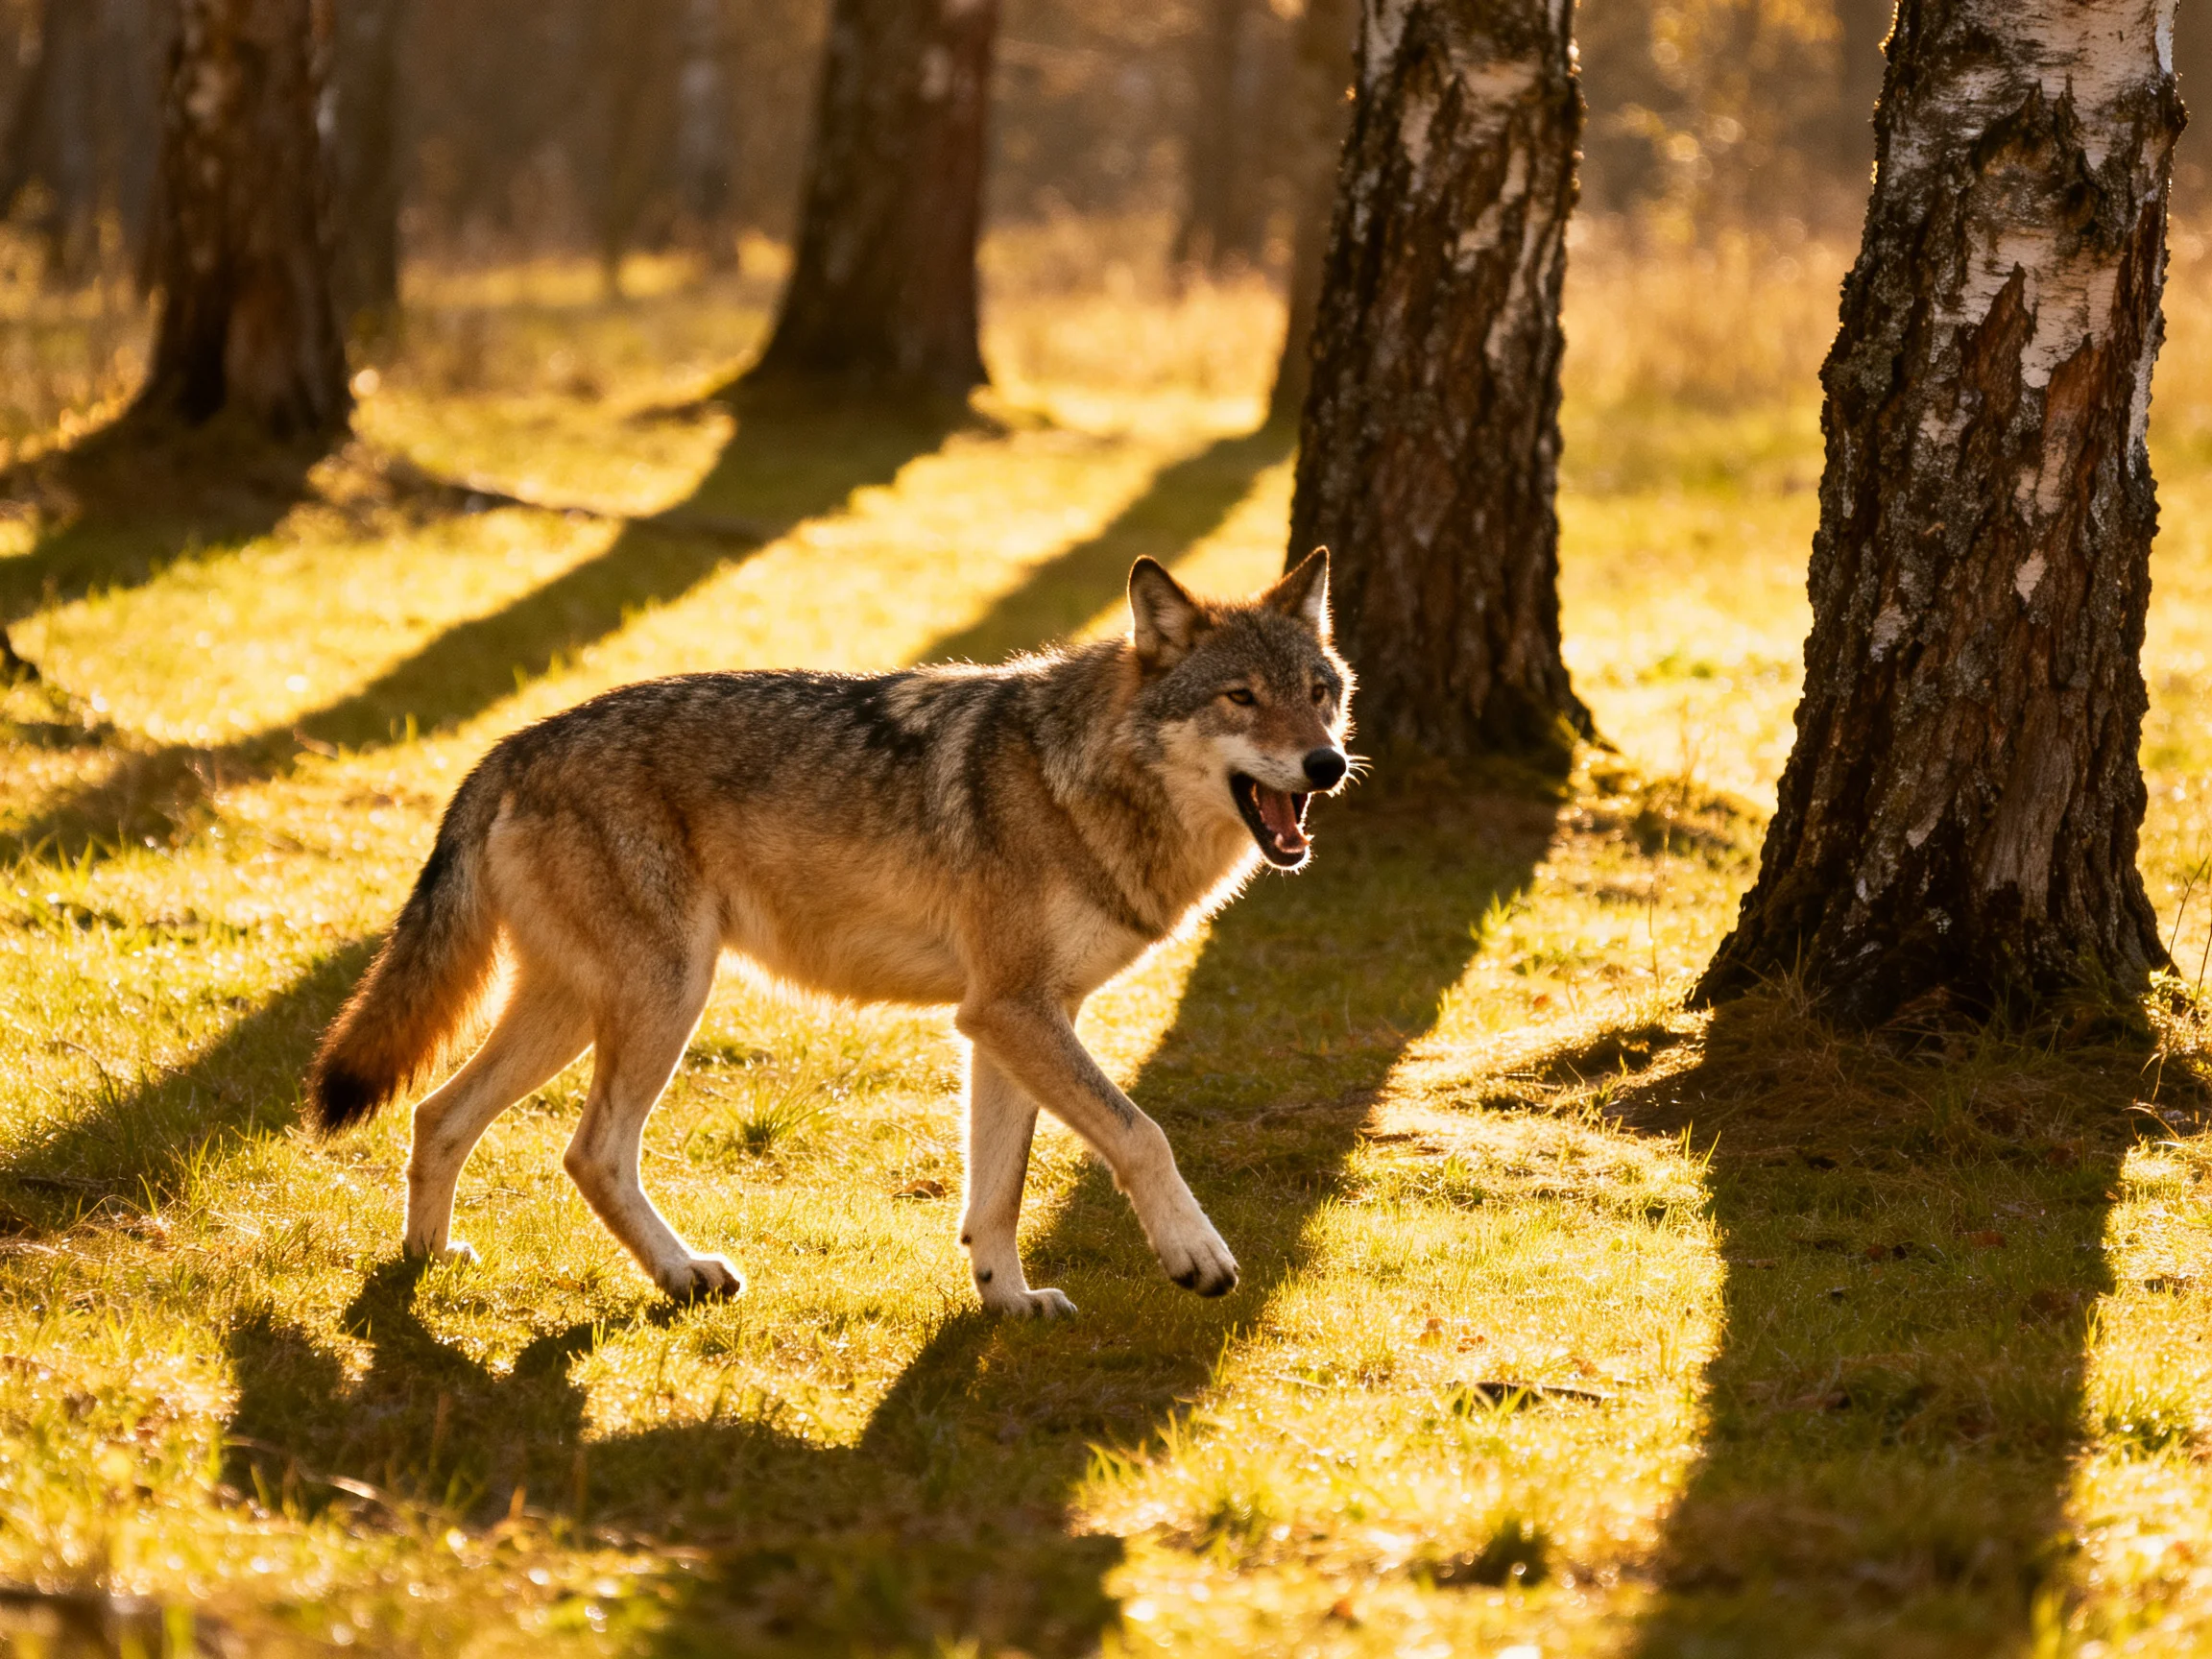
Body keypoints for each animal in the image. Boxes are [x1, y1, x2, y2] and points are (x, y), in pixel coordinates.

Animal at [305, 551, 1354, 1316]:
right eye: (1240, 698)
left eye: (1319, 692)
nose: (1329, 765)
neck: (1081, 781)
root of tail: (515, 742)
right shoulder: (1012, 1012)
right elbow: (1143, 1135)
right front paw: (1196, 1254)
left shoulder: (1003, 1021)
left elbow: (997, 1195)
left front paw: (1007, 1301)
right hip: (665, 998)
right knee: (590, 1152)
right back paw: (683, 1276)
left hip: (573, 1011)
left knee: (436, 1114)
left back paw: (428, 1261)